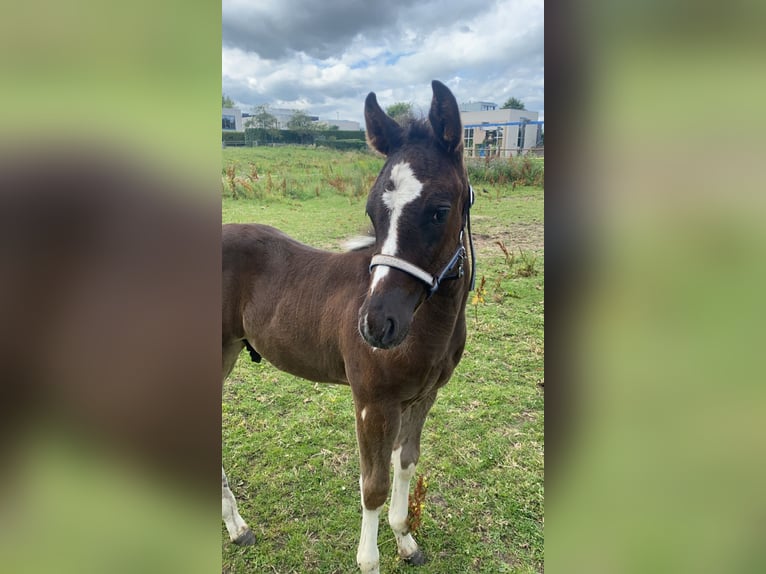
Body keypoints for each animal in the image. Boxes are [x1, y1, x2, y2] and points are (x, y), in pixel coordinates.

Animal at [222, 79, 474, 572]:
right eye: (373, 211)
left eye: (439, 210)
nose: (376, 326)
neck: (429, 327)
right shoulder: (373, 404)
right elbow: (372, 487)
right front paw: (371, 559)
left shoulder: (423, 396)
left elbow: (405, 463)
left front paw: (406, 541)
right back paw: (237, 526)